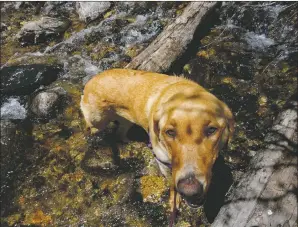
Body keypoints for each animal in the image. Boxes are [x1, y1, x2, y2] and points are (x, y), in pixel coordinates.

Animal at [80, 68, 234, 209]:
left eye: (212, 130)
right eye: (170, 132)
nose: (190, 191)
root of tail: (90, 81)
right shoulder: (163, 163)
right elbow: (171, 183)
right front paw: (174, 199)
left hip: (126, 121)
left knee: (120, 133)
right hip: (97, 121)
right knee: (90, 129)